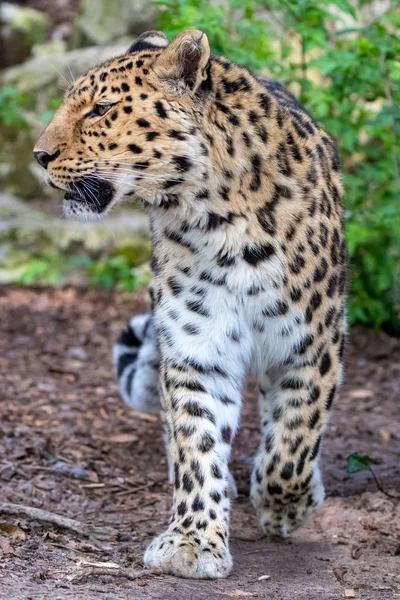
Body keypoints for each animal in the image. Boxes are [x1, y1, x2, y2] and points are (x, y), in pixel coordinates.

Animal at [34, 29, 346, 580]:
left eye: (101, 109)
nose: (38, 155)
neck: (217, 220)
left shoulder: (312, 345)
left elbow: (295, 440)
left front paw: (285, 505)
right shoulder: (198, 346)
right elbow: (196, 438)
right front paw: (194, 539)